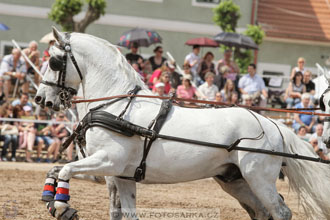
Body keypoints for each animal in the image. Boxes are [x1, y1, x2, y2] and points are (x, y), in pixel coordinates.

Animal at [34, 27, 330, 220]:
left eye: (54, 61)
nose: (40, 98)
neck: (116, 106)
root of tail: (273, 124)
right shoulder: (115, 173)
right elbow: (58, 169)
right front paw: (50, 199)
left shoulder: (109, 161)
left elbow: (65, 169)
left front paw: (61, 207)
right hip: (234, 180)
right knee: (261, 212)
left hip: (259, 177)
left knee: (280, 211)